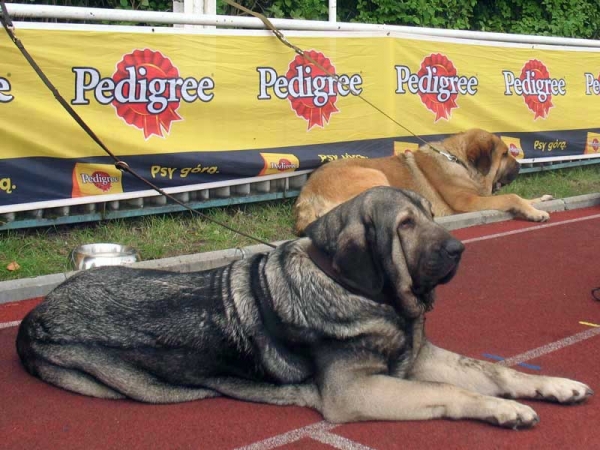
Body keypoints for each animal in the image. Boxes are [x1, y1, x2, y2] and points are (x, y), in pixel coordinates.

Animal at [17, 187, 592, 428]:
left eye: (432, 215)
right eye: (405, 226)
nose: (458, 250)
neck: (359, 291)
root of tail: (31, 316)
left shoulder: (419, 358)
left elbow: (496, 371)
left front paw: (553, 385)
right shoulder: (357, 391)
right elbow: (455, 392)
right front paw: (506, 411)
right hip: (122, 383)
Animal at [292, 128, 552, 236]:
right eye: (505, 155)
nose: (520, 165)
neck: (459, 162)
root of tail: (307, 194)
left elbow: (523, 197)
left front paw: (542, 200)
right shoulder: (468, 203)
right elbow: (511, 196)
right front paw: (536, 213)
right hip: (376, 176)